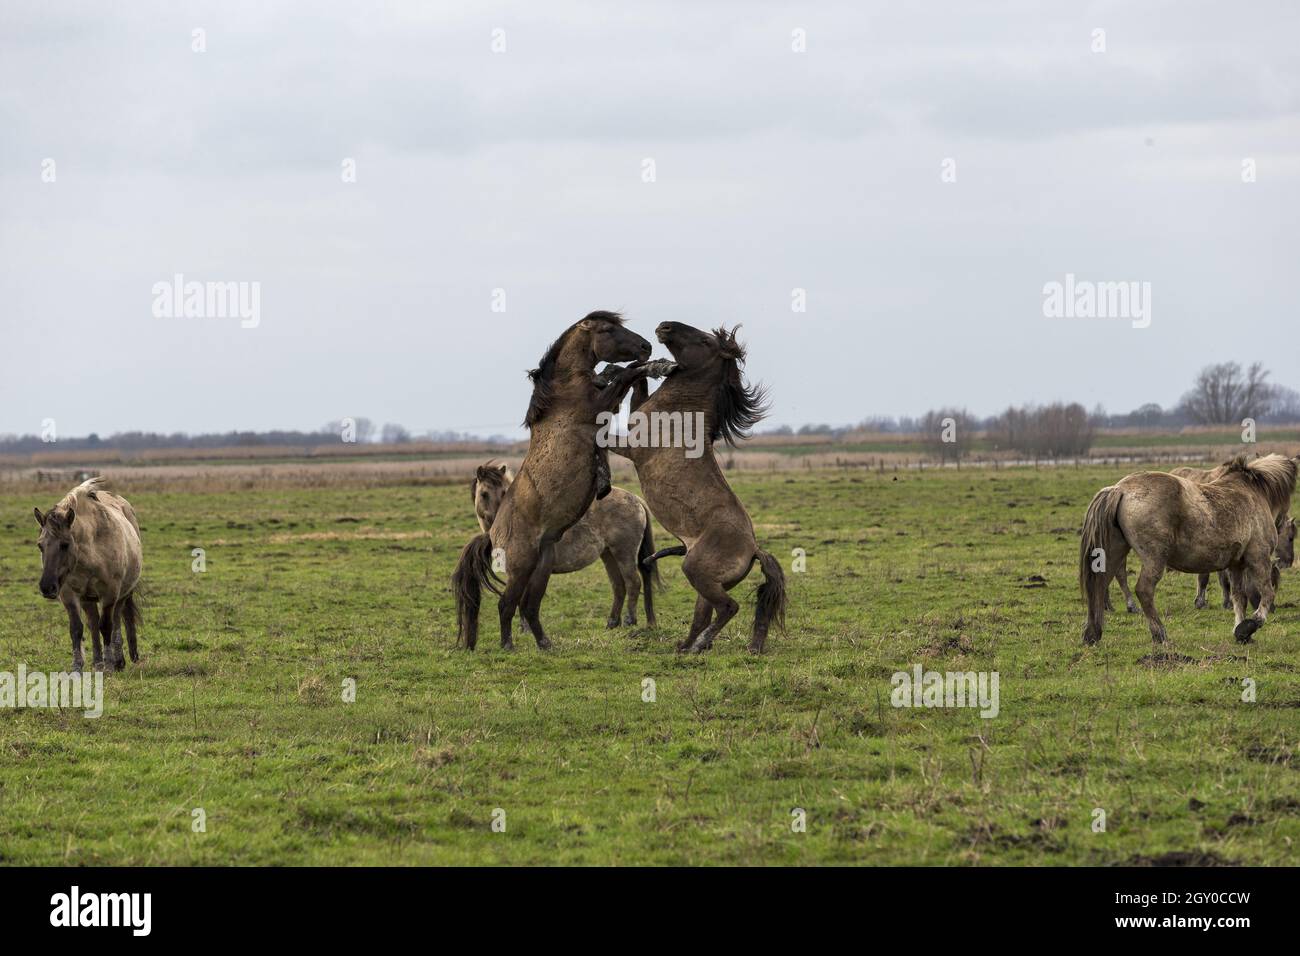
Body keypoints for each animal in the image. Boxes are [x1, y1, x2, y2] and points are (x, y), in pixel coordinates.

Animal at [32, 476, 142, 671]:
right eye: (40, 545)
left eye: (65, 544)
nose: (47, 587)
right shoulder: (69, 594)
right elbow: (77, 629)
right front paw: (77, 667)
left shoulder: (110, 594)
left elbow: (106, 626)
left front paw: (109, 666)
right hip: (87, 599)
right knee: (92, 623)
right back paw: (97, 662)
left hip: (121, 595)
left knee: (116, 620)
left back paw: (117, 660)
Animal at [470, 463, 660, 629]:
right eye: (484, 494)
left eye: (504, 492)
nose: (497, 521)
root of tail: (636, 499)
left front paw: (525, 628)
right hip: (608, 555)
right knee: (619, 586)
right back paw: (613, 623)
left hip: (623, 553)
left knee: (633, 582)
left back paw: (630, 620)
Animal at [624, 325, 785, 655]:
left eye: (705, 340)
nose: (664, 326)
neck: (681, 412)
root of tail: (754, 550)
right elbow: (639, 387)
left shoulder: (628, 447)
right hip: (704, 584)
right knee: (704, 615)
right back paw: (687, 647)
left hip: (697, 574)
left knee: (728, 608)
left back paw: (699, 645)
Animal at [1076, 455, 1300, 647]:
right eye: (1290, 537)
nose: (1275, 610)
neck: (1253, 492)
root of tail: (1120, 489)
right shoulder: (1259, 558)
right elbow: (1266, 593)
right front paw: (1249, 626)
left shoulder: (1236, 565)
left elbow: (1239, 597)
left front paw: (1240, 630)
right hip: (1153, 559)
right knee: (1143, 590)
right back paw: (1160, 634)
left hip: (1114, 552)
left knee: (1099, 584)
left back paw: (1093, 633)